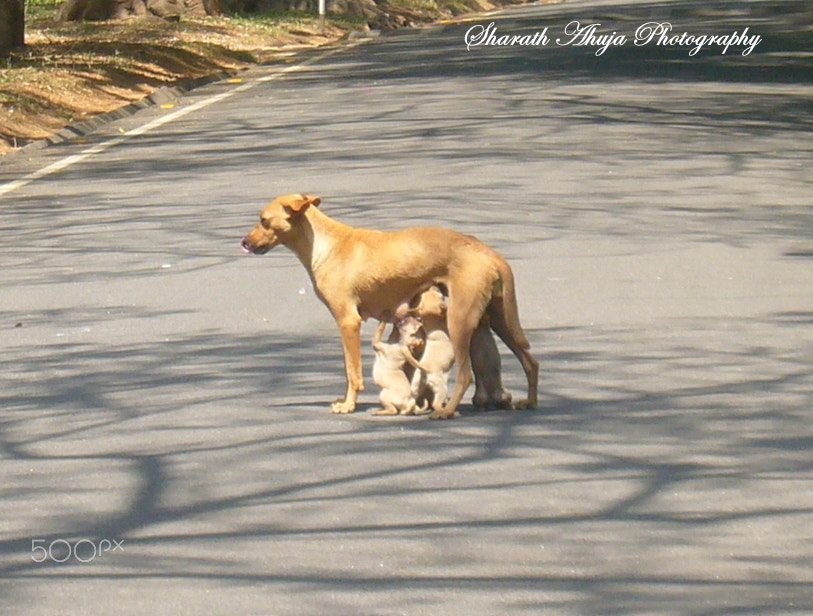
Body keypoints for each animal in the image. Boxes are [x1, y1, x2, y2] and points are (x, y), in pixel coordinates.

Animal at [238, 195, 536, 422]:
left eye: (263, 220)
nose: (244, 243)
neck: (325, 244)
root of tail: (489, 252)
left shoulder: (348, 321)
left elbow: (352, 372)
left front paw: (348, 405)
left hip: (460, 322)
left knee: (466, 374)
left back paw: (446, 411)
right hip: (499, 320)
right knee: (530, 361)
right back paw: (528, 402)